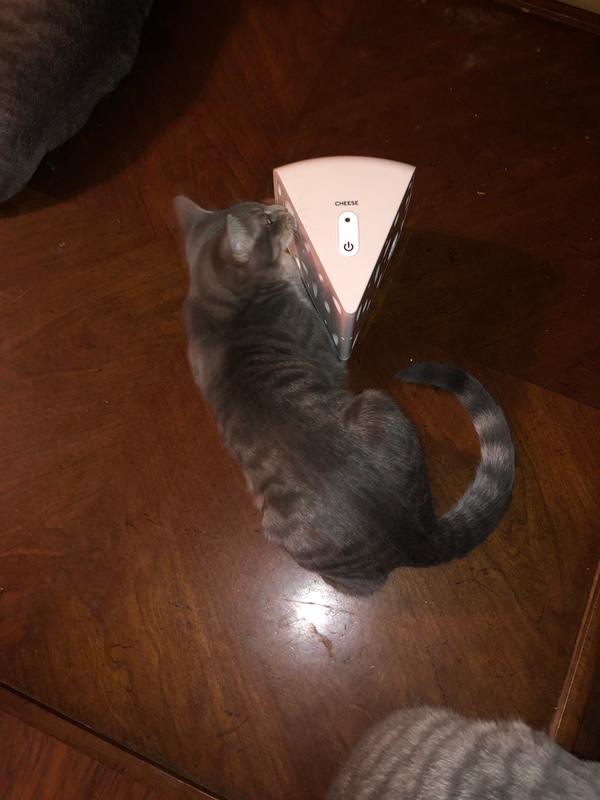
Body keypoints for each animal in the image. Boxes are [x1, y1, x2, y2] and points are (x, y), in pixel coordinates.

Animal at [175, 196, 515, 595]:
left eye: (263, 207)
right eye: (268, 220)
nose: (280, 208)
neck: (221, 303)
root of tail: (418, 537)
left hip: (376, 406)